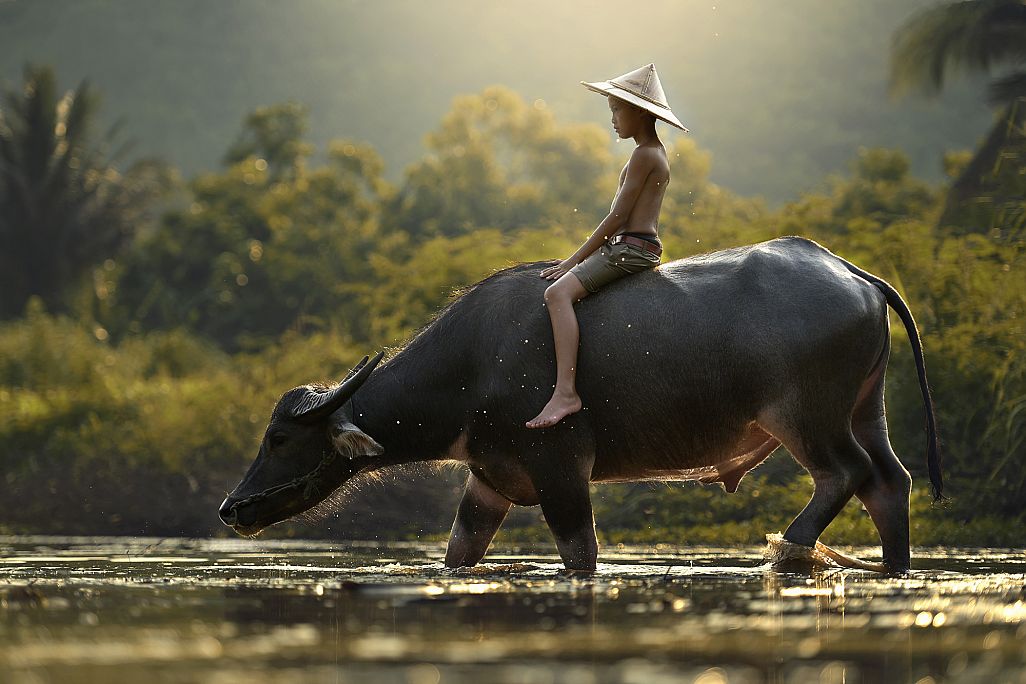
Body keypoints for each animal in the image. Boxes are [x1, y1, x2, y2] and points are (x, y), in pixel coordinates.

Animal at [220, 235, 939, 574]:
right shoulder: (489, 482)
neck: (476, 366)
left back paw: (789, 551)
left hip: (806, 418)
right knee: (890, 482)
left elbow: (580, 555)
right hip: (865, 409)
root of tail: (852, 273)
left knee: (844, 475)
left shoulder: (561, 470)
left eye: (280, 438)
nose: (232, 507)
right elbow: (458, 554)